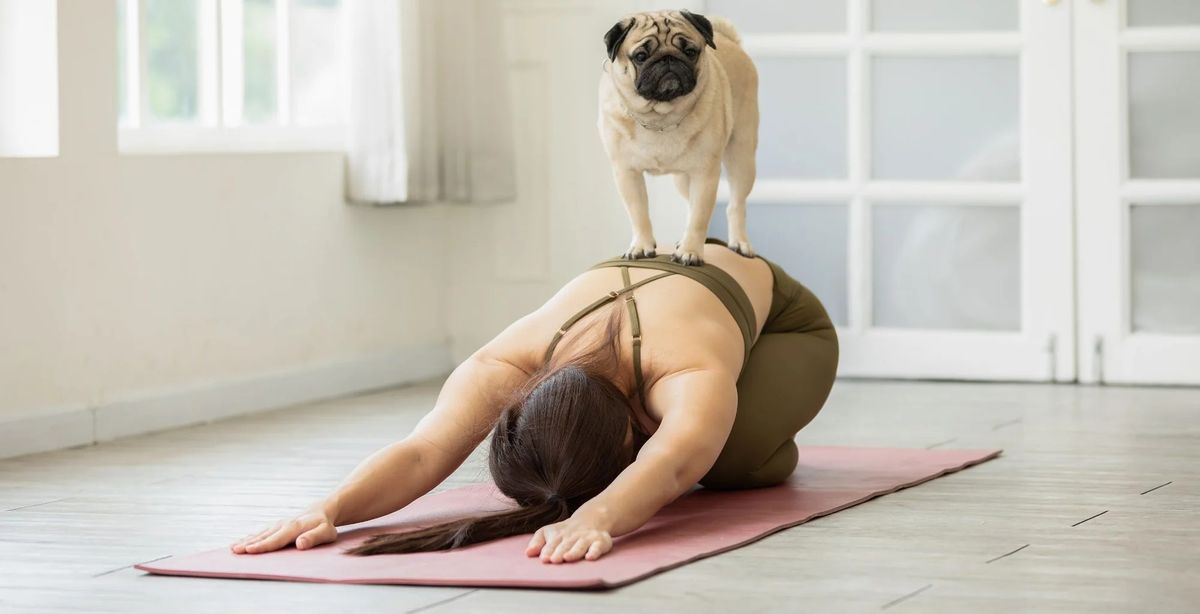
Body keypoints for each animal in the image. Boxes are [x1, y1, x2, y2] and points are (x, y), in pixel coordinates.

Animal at [600, 9, 758, 263]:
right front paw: (641, 246)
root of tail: (730, 41)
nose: (668, 59)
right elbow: (639, 214)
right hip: (683, 179)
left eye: (690, 52)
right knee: (689, 204)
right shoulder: (627, 173)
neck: (660, 116)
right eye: (641, 56)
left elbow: (699, 218)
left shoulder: (705, 175)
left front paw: (690, 251)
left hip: (741, 157)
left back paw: (740, 243)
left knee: (736, 204)